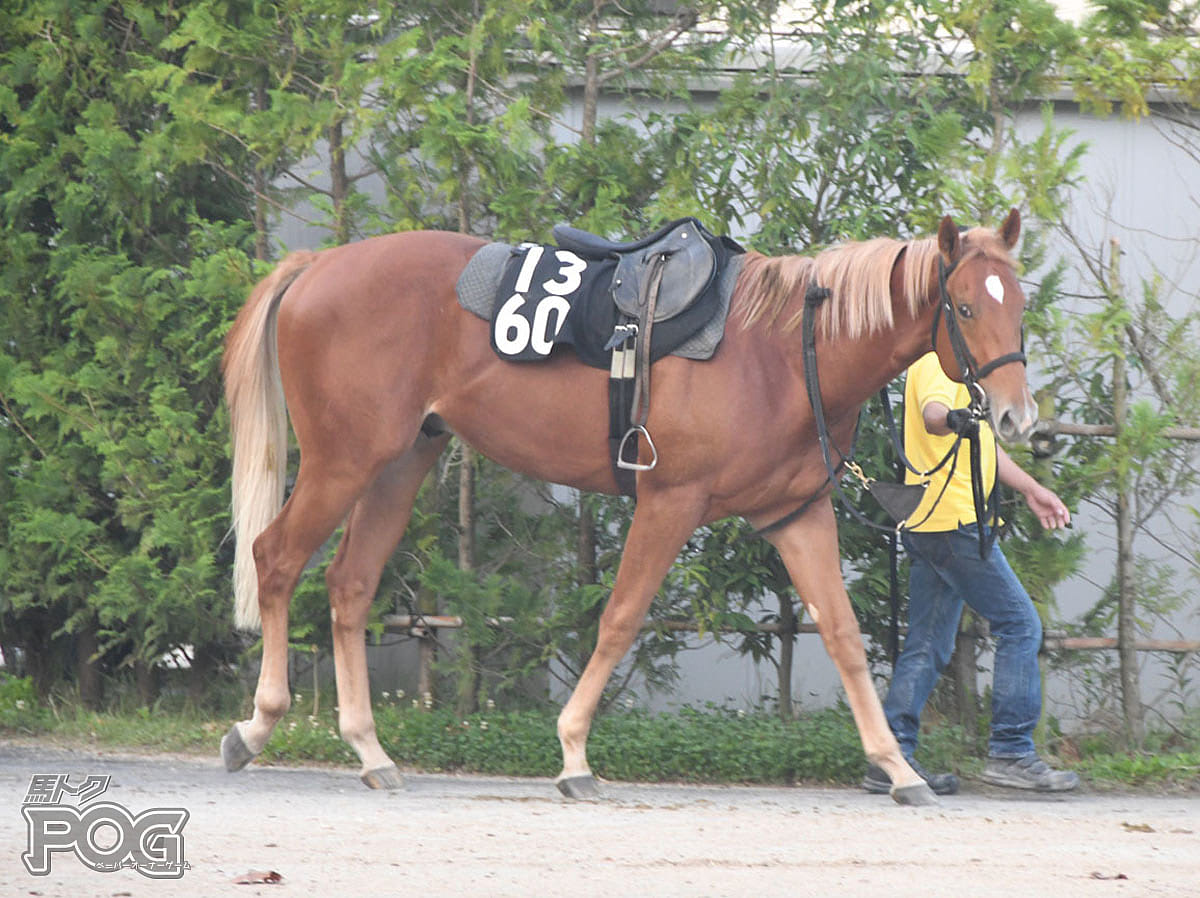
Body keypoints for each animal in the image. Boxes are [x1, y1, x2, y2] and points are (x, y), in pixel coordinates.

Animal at [216, 210, 1032, 806]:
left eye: (1017, 303)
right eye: (964, 306)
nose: (1015, 417)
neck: (782, 352)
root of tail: (319, 266)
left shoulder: (795, 516)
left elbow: (843, 637)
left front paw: (899, 768)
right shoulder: (669, 504)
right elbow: (618, 619)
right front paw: (574, 751)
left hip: (398, 462)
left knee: (350, 585)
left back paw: (368, 747)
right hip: (344, 462)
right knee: (276, 560)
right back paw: (257, 726)